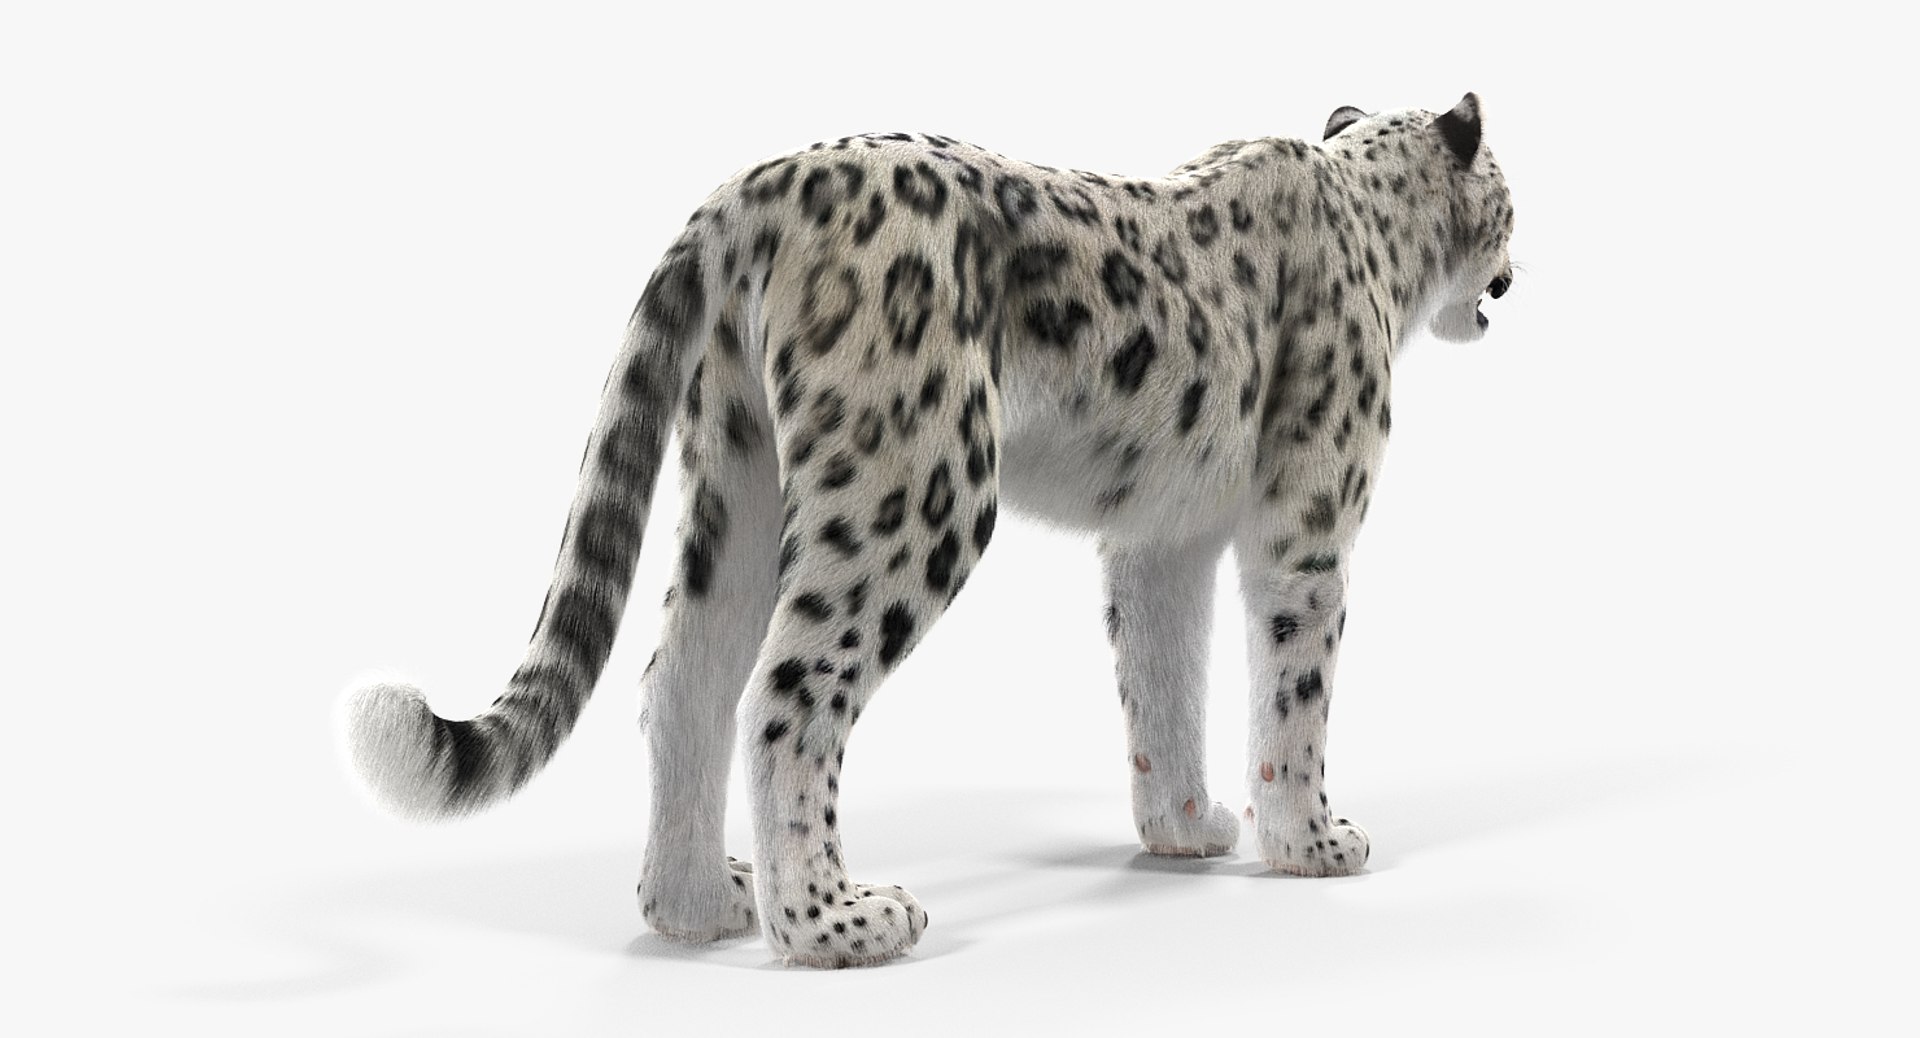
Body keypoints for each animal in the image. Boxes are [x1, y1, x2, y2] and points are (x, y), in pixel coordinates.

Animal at [342, 93, 1517, 968]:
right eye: (1509, 201)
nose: (1515, 272)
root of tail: (755, 185)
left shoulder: (1162, 533)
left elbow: (1163, 680)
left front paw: (1187, 828)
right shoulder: (1308, 524)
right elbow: (1295, 691)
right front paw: (1311, 841)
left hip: (739, 479)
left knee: (683, 680)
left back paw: (697, 903)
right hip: (913, 490)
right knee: (788, 690)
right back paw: (832, 922)